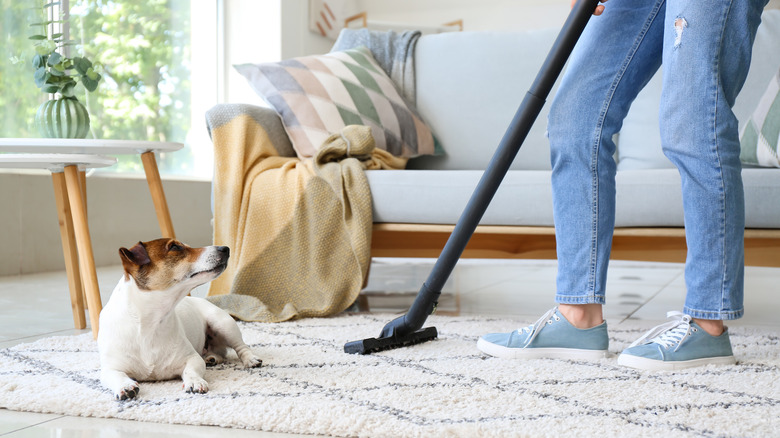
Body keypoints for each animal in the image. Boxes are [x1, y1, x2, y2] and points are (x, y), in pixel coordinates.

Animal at [96, 240, 262, 400]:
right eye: (175, 247)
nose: (225, 248)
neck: (149, 323)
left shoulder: (192, 358)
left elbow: (191, 370)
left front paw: (194, 381)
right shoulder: (109, 368)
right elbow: (116, 375)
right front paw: (125, 386)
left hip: (223, 323)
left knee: (241, 347)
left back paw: (250, 359)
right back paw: (211, 358)